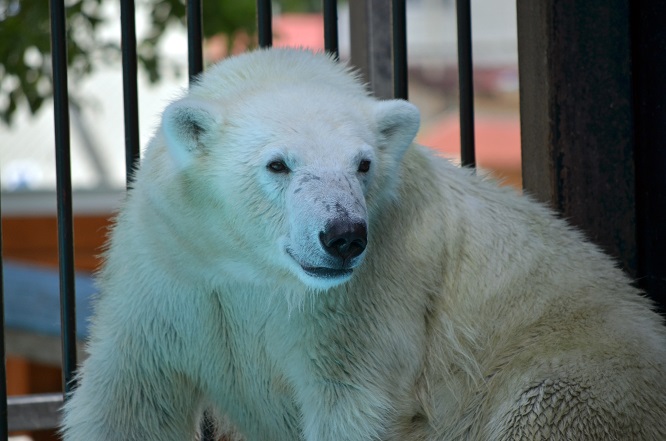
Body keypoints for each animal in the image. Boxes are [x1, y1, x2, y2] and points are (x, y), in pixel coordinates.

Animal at [59, 49, 660, 440]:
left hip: (579, 374)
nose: (343, 236)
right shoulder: (170, 268)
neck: (256, 270)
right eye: (278, 164)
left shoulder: (365, 293)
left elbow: (351, 401)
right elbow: (129, 401)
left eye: (363, 164)